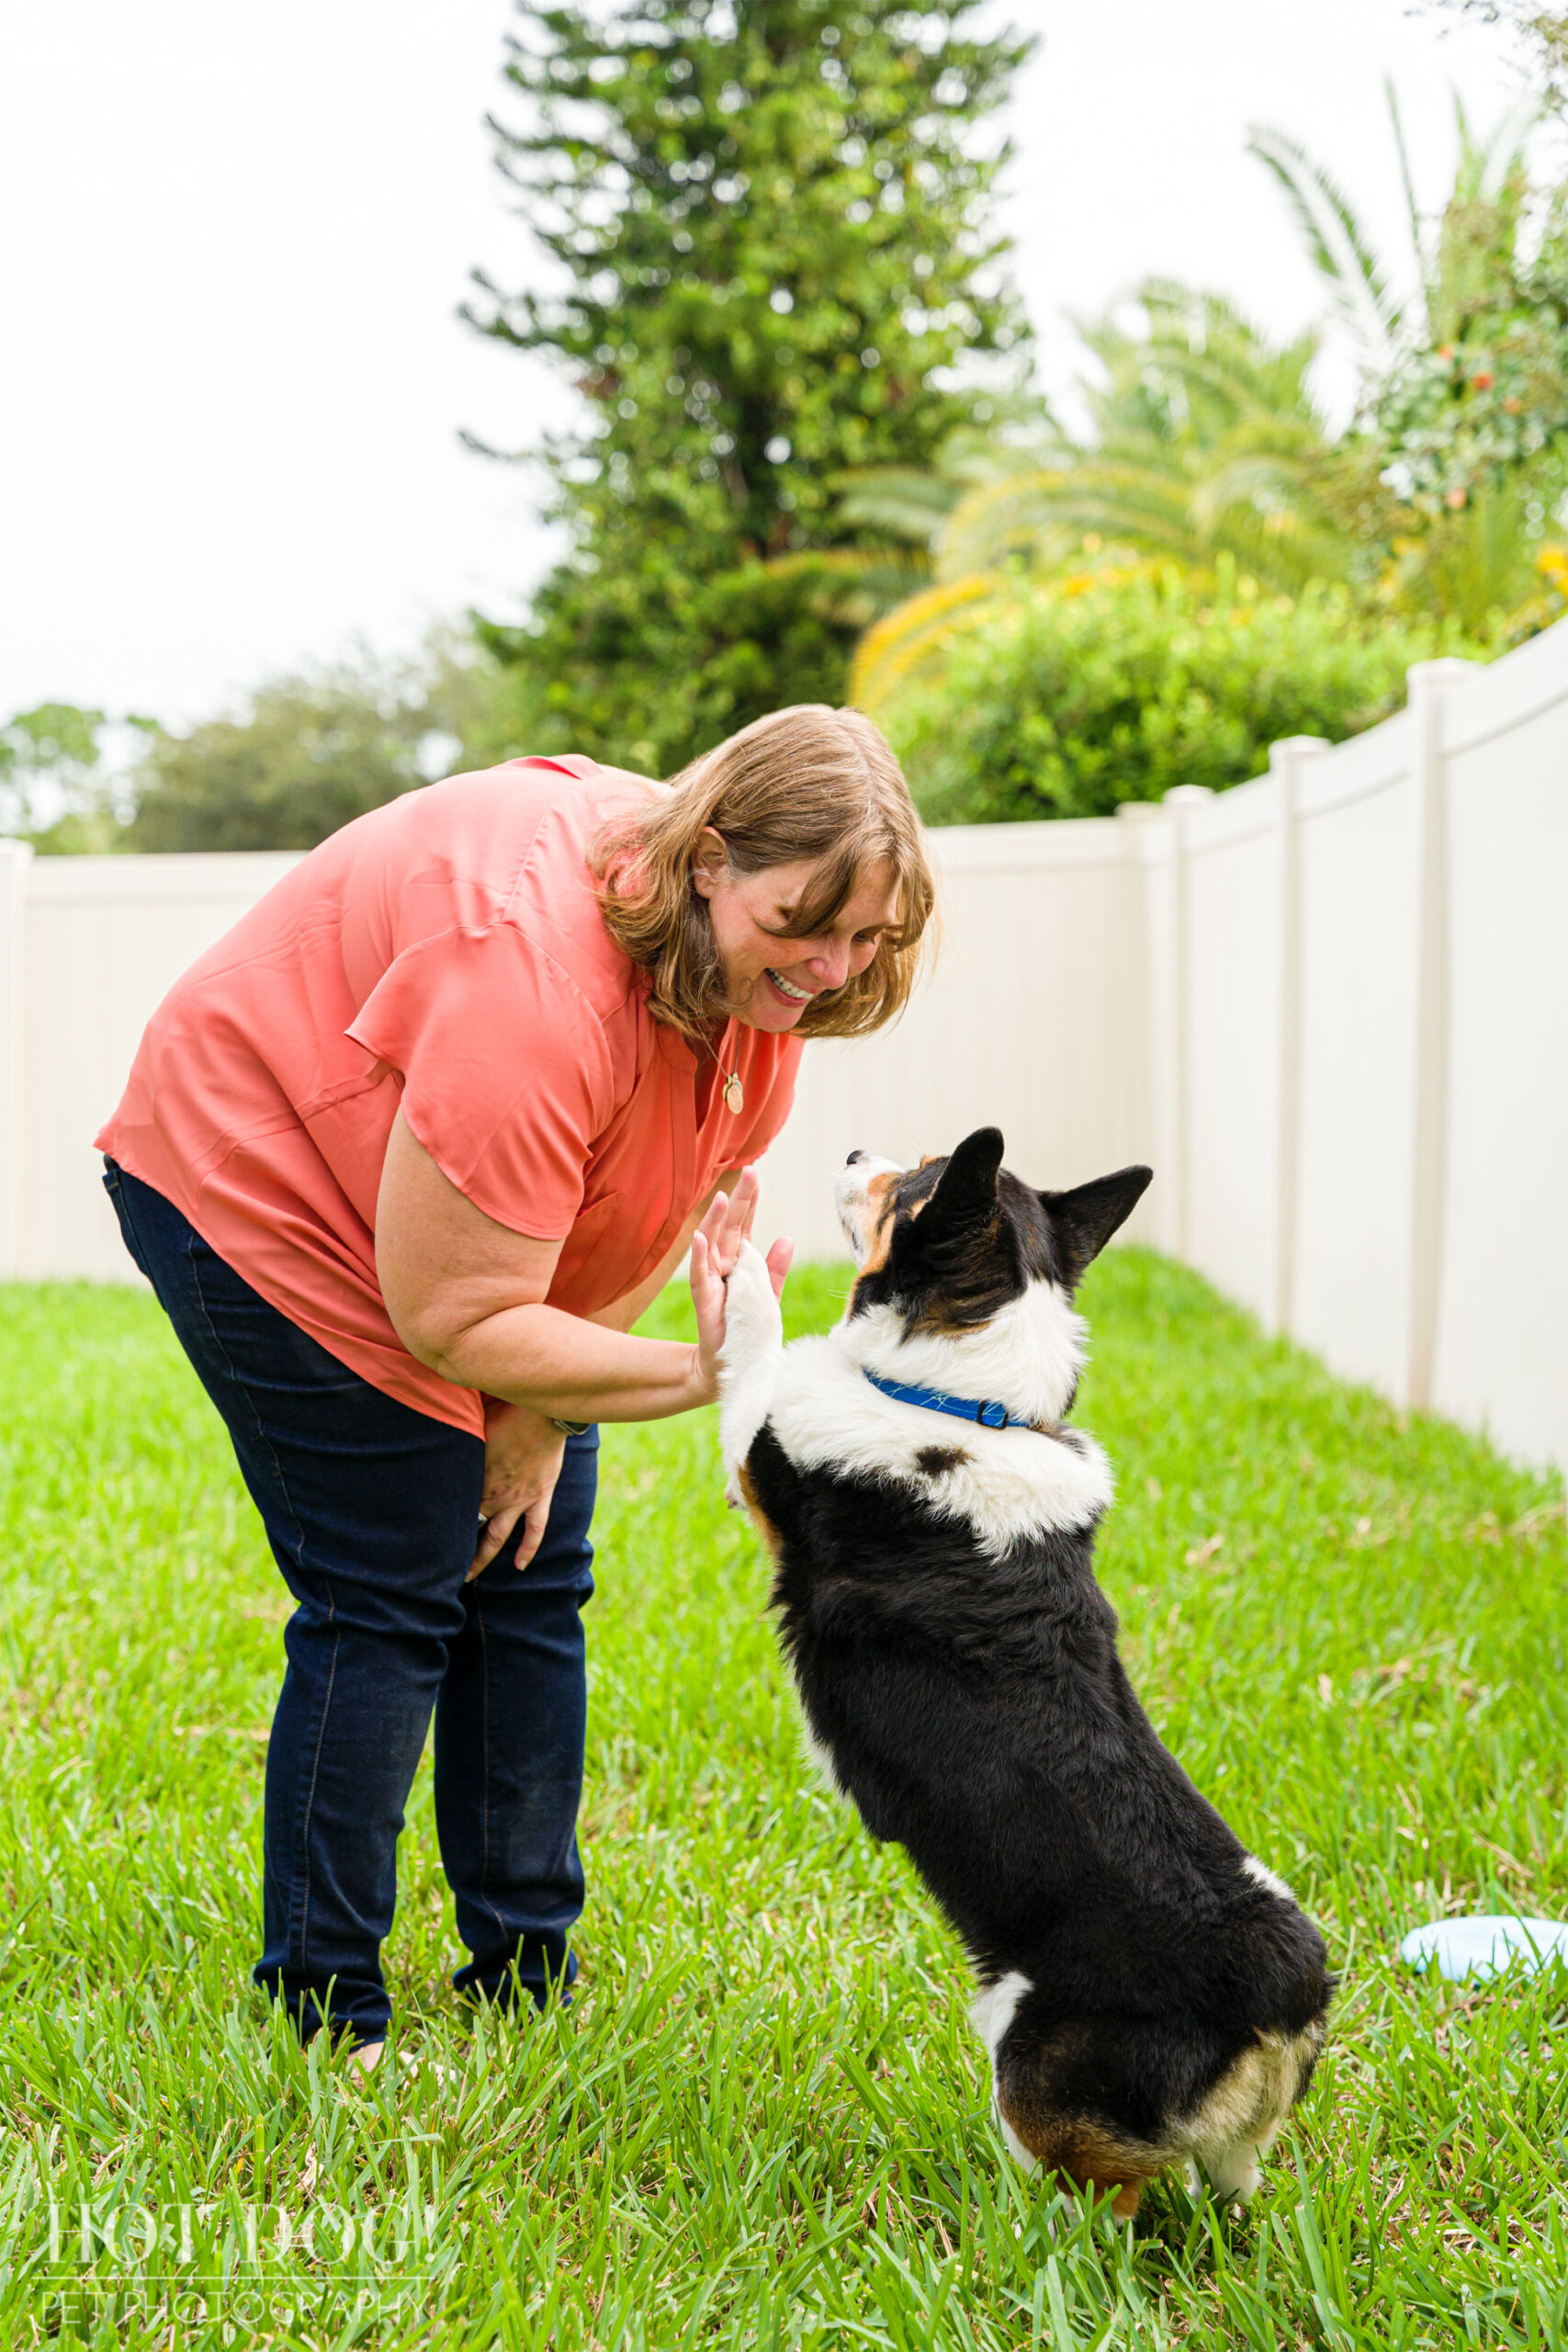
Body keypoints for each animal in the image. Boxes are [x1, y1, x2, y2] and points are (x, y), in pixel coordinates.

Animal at [719, 1128, 1335, 2211]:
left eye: (912, 1181)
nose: (853, 1148)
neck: (972, 1404)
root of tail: (1280, 1997)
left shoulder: (763, 1457)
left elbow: (756, 1347)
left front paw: (739, 1254)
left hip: (1032, 2070)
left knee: (1108, 2204)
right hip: (1234, 2150)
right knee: (1228, 2186)